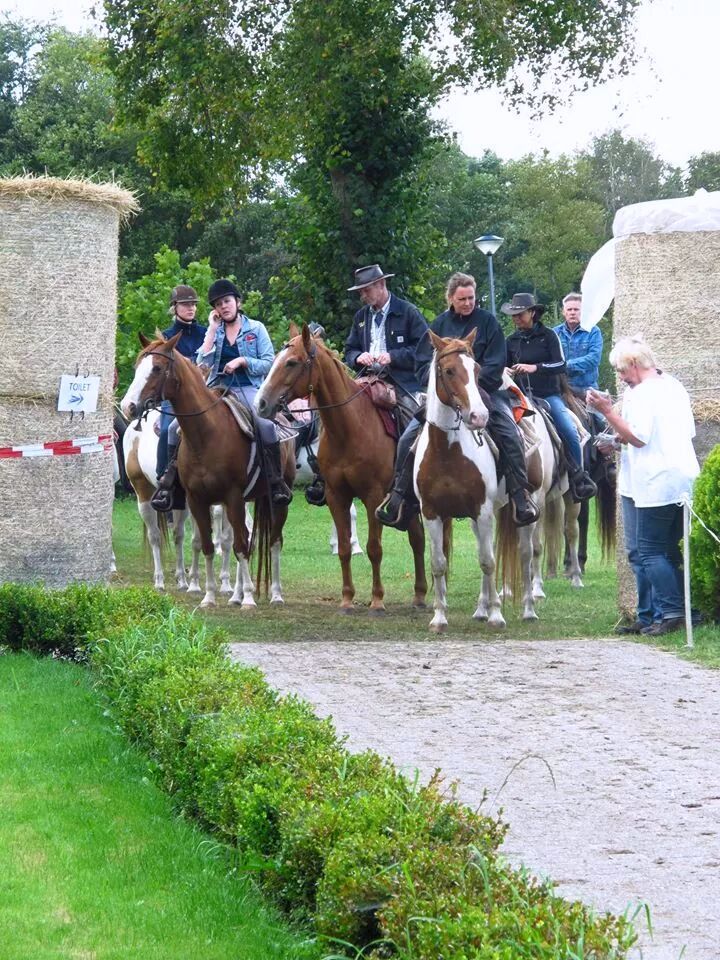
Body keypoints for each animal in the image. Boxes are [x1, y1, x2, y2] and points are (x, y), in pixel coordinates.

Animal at [122, 334, 294, 604]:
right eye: (137, 367)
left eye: (157, 368)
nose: (128, 406)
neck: (207, 433)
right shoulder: (197, 499)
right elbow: (206, 544)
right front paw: (209, 594)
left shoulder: (233, 498)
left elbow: (237, 544)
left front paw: (244, 596)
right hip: (144, 492)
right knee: (157, 536)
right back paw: (162, 581)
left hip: (276, 500)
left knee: (274, 541)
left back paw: (274, 593)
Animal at [255, 324, 428, 616]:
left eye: (291, 362)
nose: (261, 403)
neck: (349, 428)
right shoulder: (336, 494)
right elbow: (345, 547)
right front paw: (346, 599)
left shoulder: (372, 496)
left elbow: (374, 548)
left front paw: (377, 601)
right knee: (417, 537)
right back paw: (418, 595)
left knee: (420, 540)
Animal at [414, 334, 510, 632]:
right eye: (448, 371)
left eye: (476, 369)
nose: (479, 417)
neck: (447, 452)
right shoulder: (432, 513)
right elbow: (438, 564)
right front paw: (439, 617)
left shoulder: (483, 510)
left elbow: (488, 562)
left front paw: (497, 615)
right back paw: (480, 609)